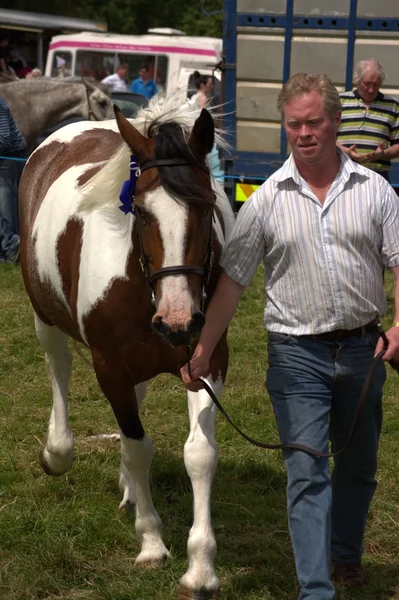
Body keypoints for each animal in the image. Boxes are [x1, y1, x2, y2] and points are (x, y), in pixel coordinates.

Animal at [19, 96, 234, 596]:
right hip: (45, 319)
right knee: (58, 367)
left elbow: (199, 454)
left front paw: (200, 567)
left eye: (207, 206)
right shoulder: (110, 367)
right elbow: (139, 447)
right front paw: (152, 543)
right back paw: (57, 451)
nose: (178, 320)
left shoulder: (207, 360)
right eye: (141, 209)